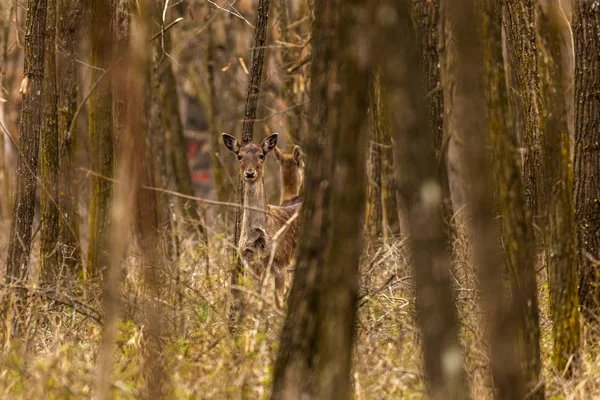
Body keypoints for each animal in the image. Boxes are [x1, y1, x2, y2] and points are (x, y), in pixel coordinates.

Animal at [223, 131, 302, 306]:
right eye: (239, 156)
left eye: (261, 155)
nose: (250, 173)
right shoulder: (252, 265)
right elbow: (256, 300)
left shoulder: (281, 262)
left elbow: (277, 303)